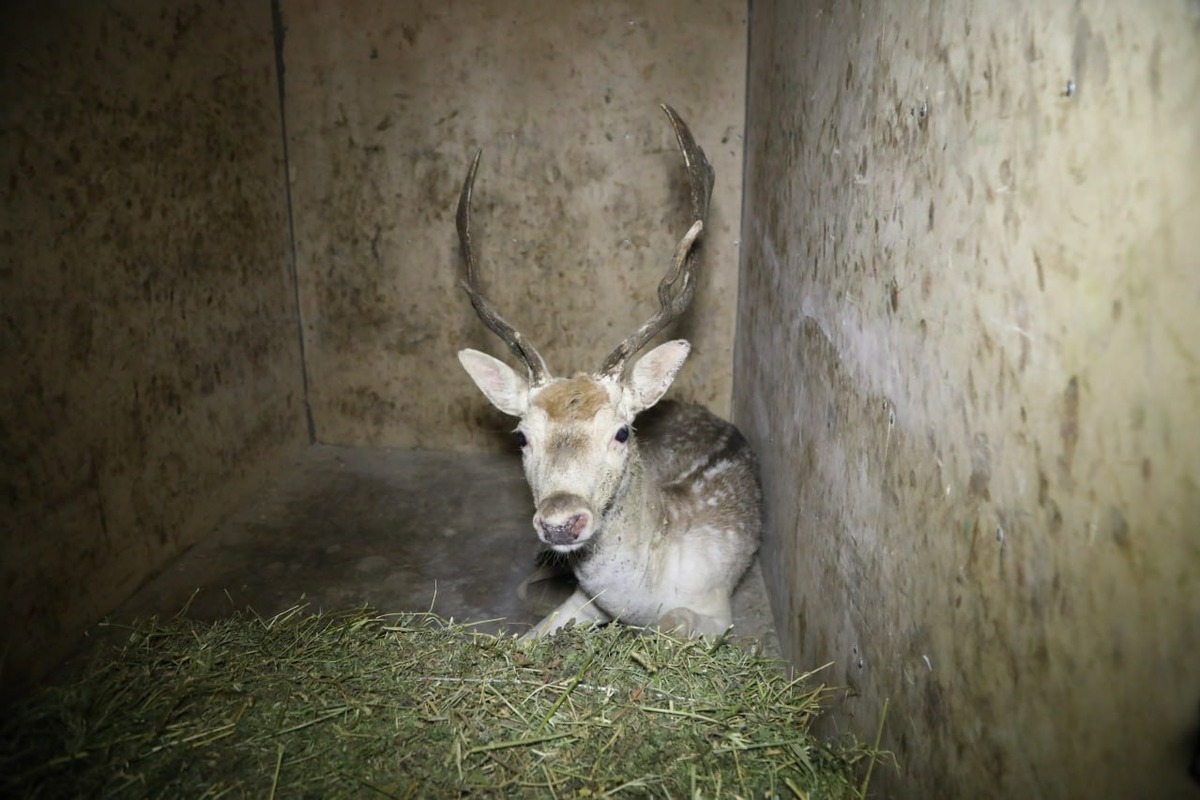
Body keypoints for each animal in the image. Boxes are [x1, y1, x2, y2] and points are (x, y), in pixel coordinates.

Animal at [451, 104, 758, 638]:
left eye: (620, 432)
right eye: (521, 436)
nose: (560, 522)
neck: (640, 596)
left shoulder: (717, 607)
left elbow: (675, 622)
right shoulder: (584, 598)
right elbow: (529, 636)